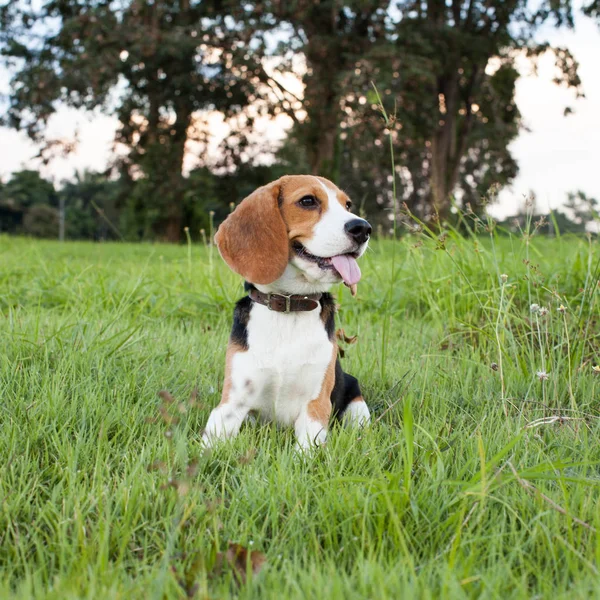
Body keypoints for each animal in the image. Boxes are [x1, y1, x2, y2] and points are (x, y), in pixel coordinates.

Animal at [202, 173, 370, 450]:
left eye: (347, 205)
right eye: (308, 201)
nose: (363, 228)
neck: (289, 306)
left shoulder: (315, 405)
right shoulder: (231, 403)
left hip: (356, 402)